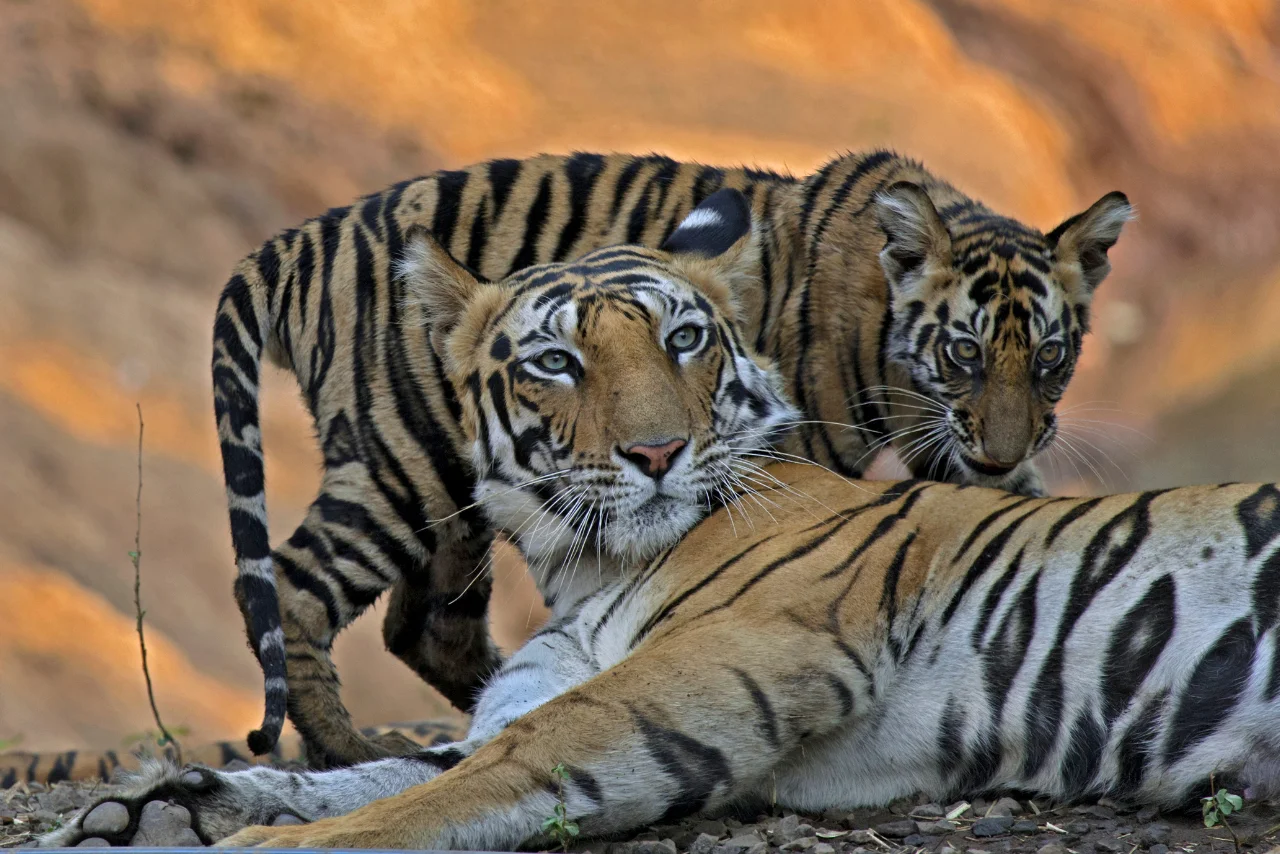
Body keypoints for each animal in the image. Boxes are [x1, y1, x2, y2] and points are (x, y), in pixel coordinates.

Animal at [42, 460, 1280, 849]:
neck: (580, 566)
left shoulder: (713, 661)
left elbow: (457, 780)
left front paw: (260, 839)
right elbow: (393, 768)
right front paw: (146, 808)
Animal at [215, 148, 1132, 767]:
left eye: (1051, 358)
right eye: (964, 353)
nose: (1001, 446)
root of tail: (300, 239)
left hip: (452, 510)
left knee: (427, 626)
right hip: (407, 465)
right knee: (292, 588)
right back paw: (350, 751)